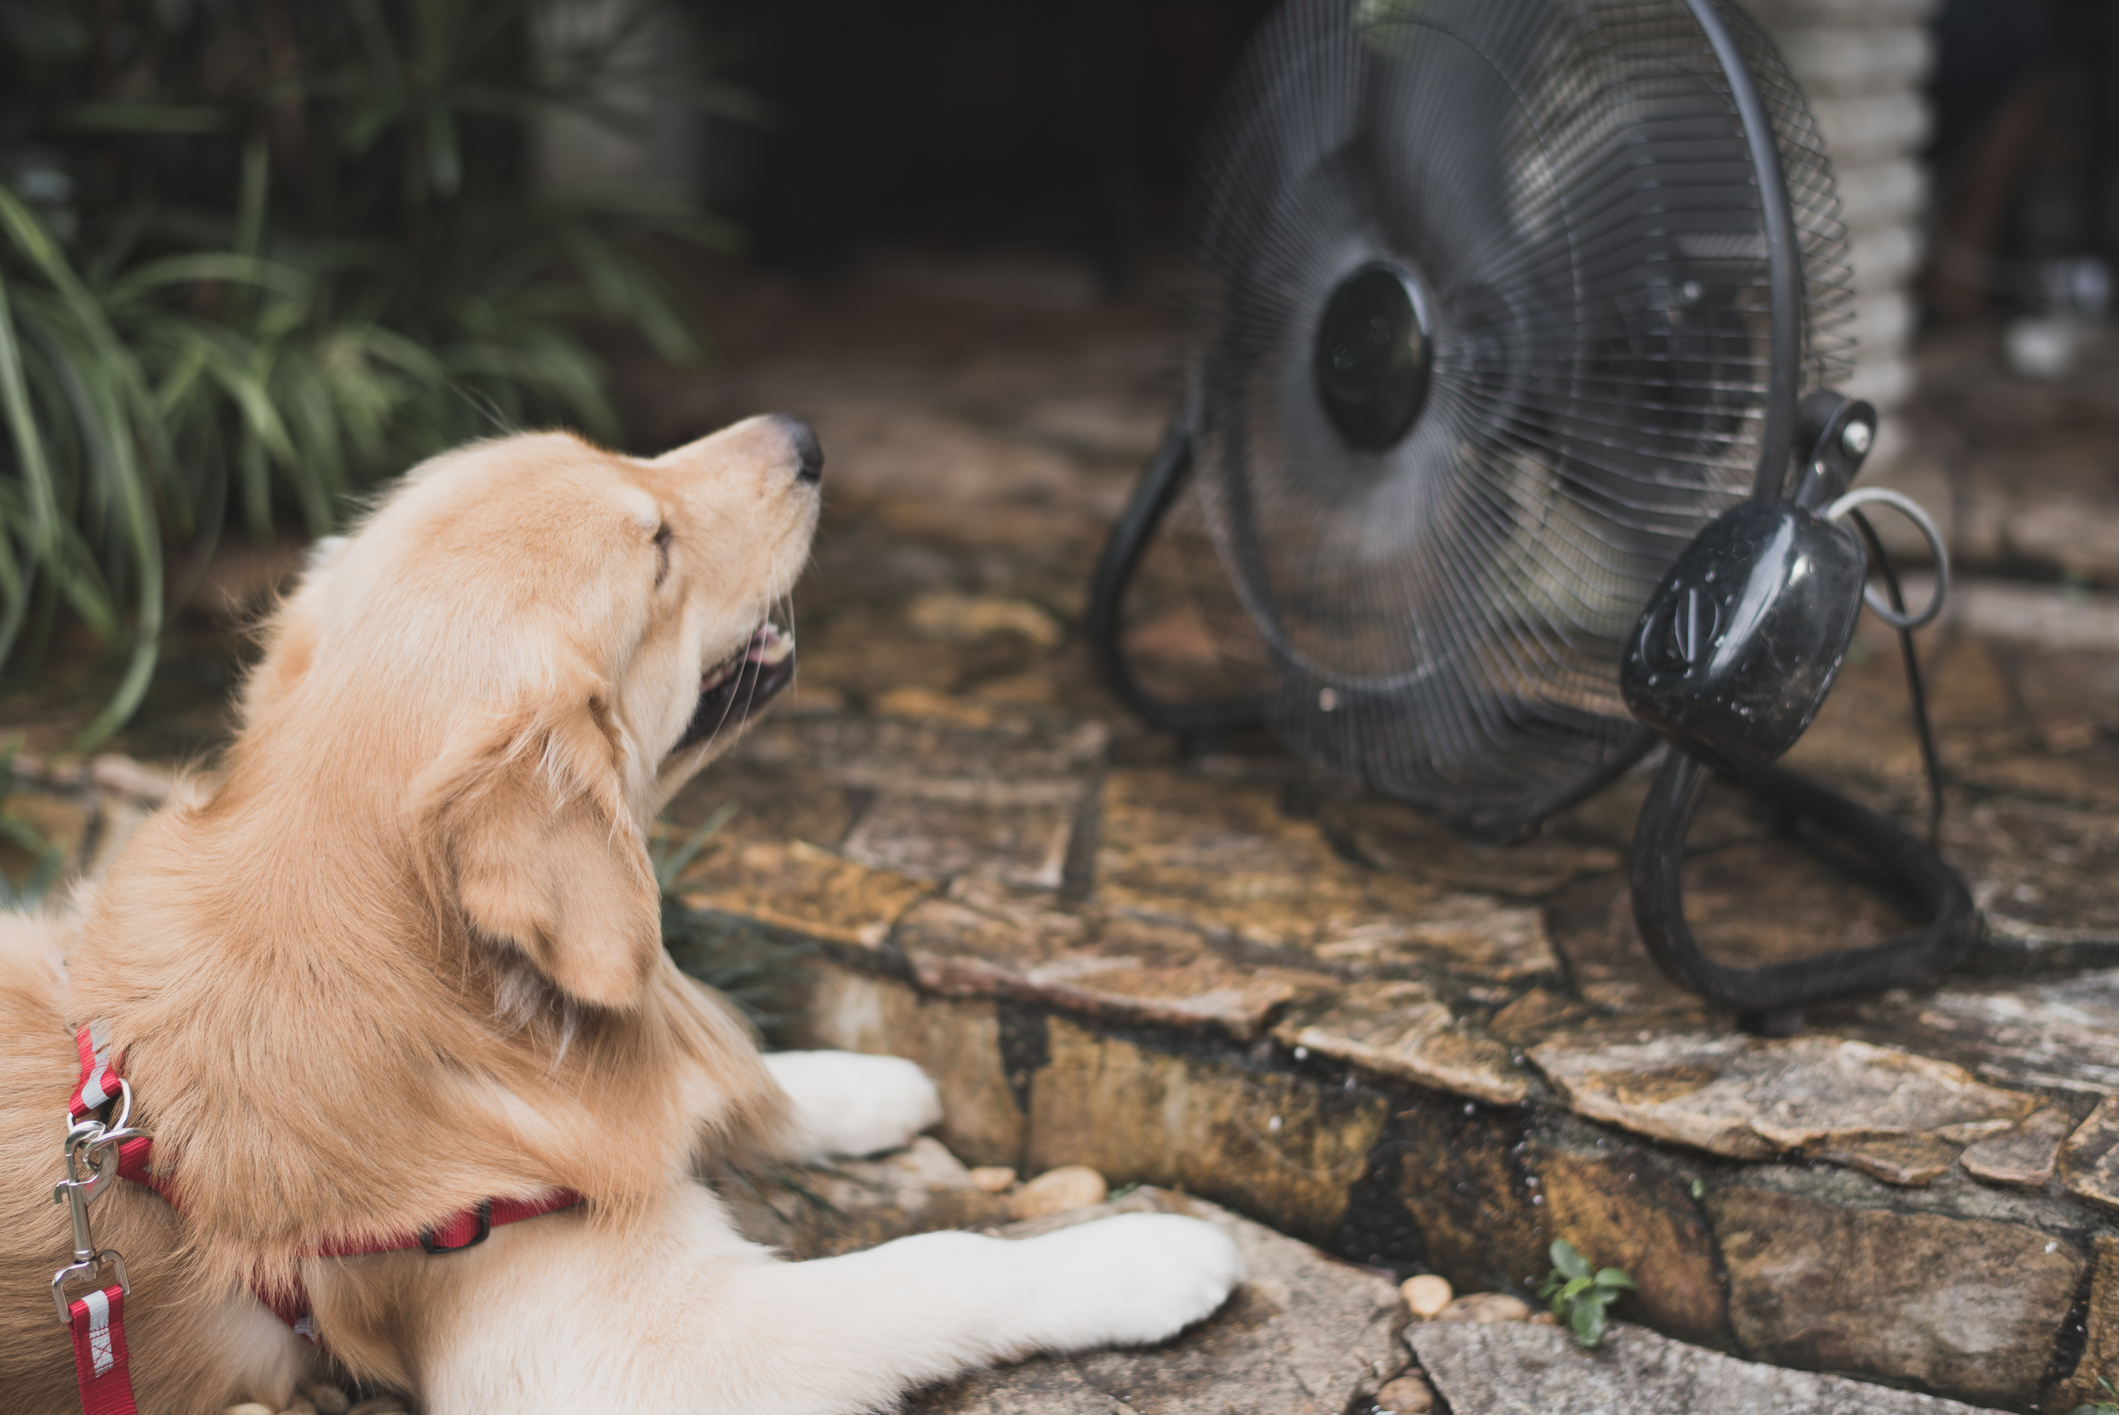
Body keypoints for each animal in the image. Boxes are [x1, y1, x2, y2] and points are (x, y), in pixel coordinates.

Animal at [0, 419, 1237, 1415]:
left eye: (616, 452)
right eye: (659, 551)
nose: (804, 434)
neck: (438, 989)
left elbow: (736, 1074)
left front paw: (862, 1084)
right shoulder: (631, 1352)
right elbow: (934, 1261)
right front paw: (1143, 1255)